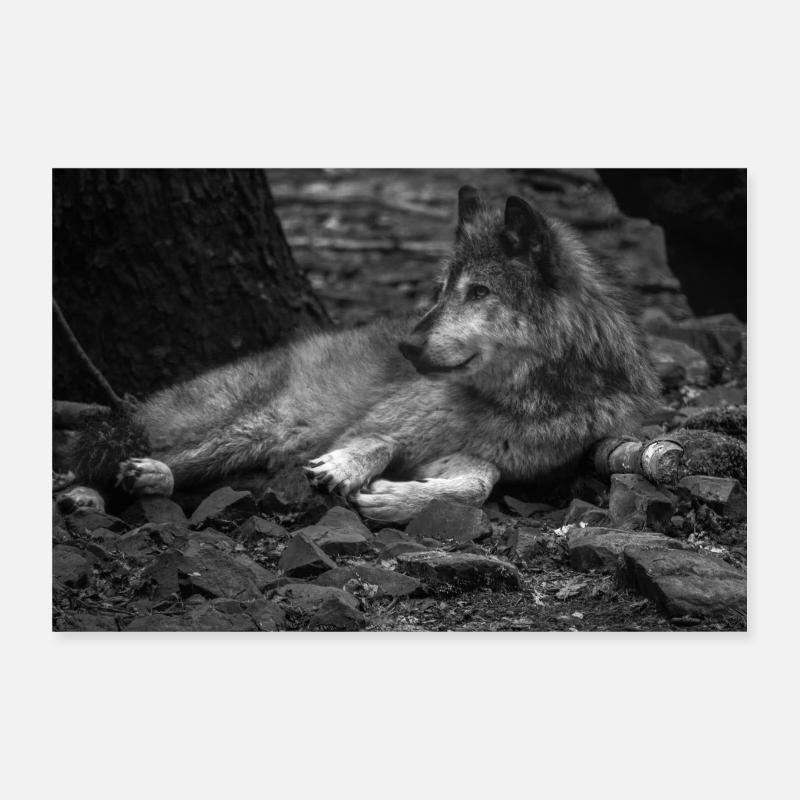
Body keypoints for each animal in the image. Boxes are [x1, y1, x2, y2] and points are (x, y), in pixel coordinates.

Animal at [67, 187, 658, 524]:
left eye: (479, 292)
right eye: (441, 289)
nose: (407, 346)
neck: (522, 401)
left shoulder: (470, 457)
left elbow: (476, 486)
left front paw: (391, 500)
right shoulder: (378, 422)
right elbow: (377, 440)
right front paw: (346, 470)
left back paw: (147, 481)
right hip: (239, 428)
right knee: (88, 454)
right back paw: (88, 495)